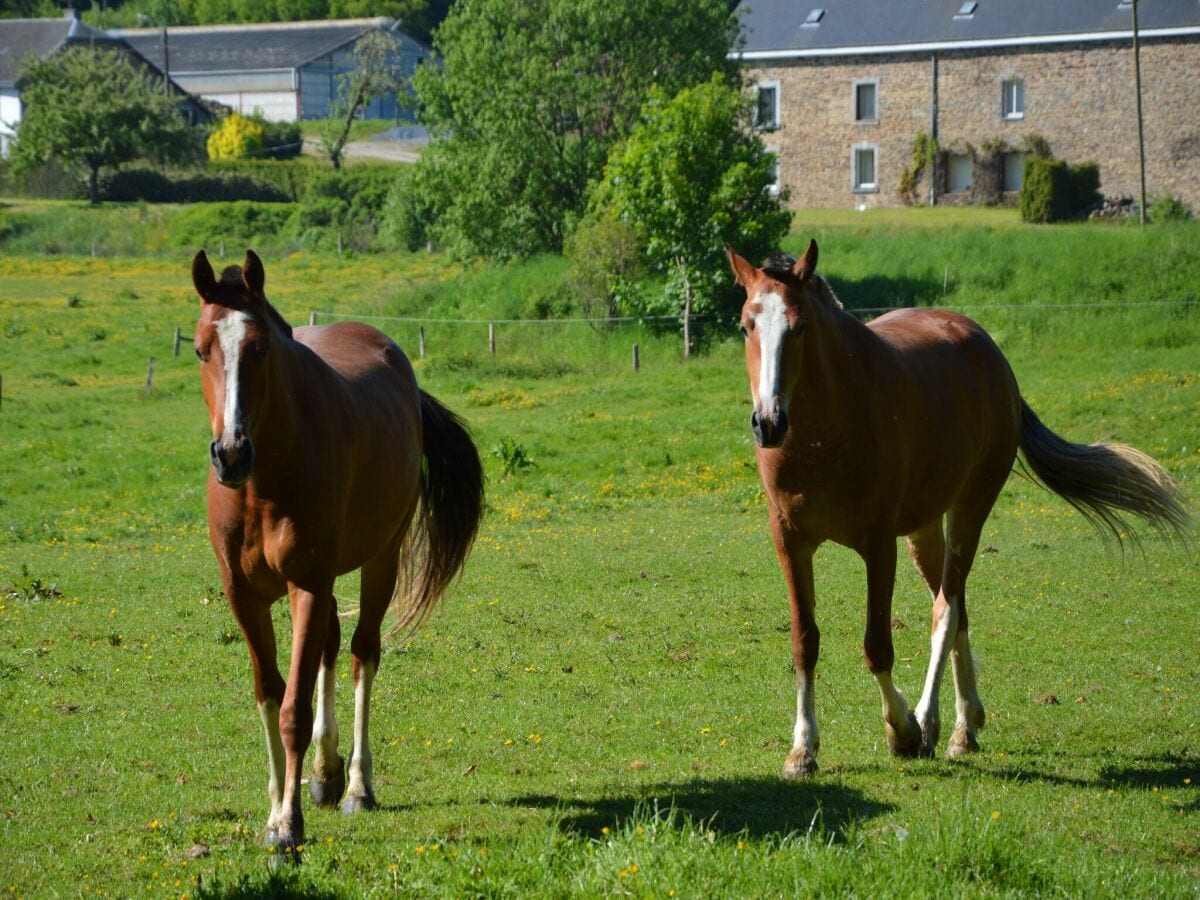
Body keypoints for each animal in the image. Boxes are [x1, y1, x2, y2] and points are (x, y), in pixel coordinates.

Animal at [192, 252, 482, 859]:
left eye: (260, 348)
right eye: (202, 349)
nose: (230, 453)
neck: (263, 484)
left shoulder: (307, 582)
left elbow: (293, 710)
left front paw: (287, 826)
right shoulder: (243, 595)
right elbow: (269, 693)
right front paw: (278, 804)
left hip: (381, 562)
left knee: (360, 654)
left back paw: (355, 787)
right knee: (329, 646)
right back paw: (324, 775)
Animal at [724, 241, 1185, 782]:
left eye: (798, 328)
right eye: (746, 326)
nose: (768, 422)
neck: (823, 430)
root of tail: (987, 349)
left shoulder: (878, 545)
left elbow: (877, 646)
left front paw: (902, 730)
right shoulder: (790, 541)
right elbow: (804, 642)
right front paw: (802, 750)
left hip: (969, 510)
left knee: (945, 611)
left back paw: (937, 724)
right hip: (924, 529)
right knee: (958, 604)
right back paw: (967, 725)